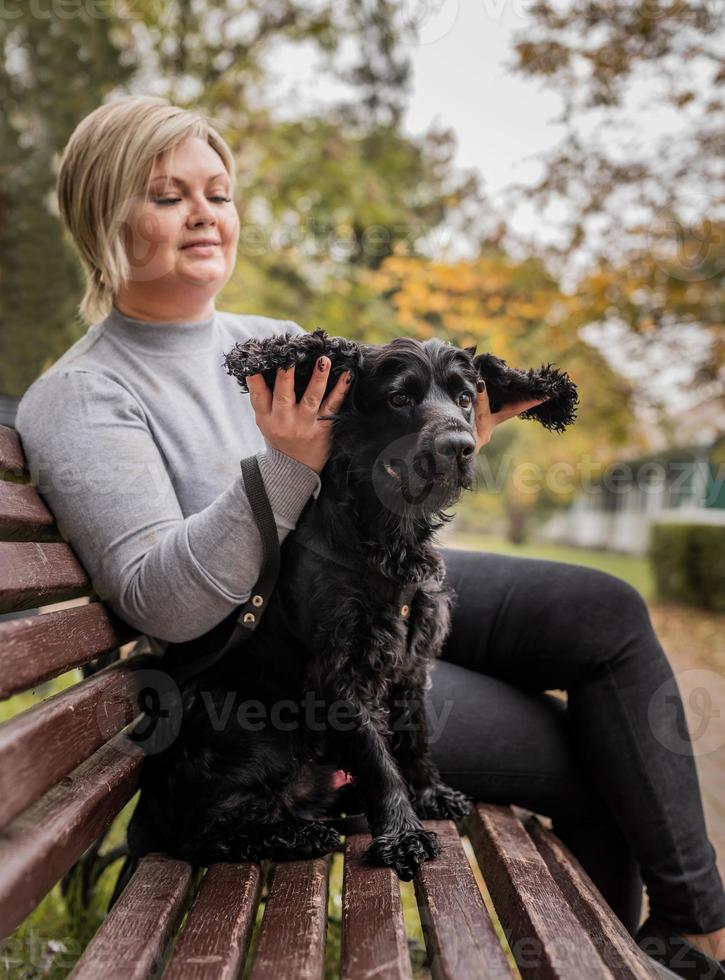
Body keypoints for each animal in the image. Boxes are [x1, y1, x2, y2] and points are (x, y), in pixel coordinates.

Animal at [124, 328, 576, 880]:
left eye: (466, 399)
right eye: (399, 398)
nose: (461, 447)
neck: (388, 540)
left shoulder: (411, 662)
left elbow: (415, 736)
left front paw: (429, 792)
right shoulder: (340, 672)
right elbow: (378, 761)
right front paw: (403, 835)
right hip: (257, 730)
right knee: (203, 832)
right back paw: (297, 833)